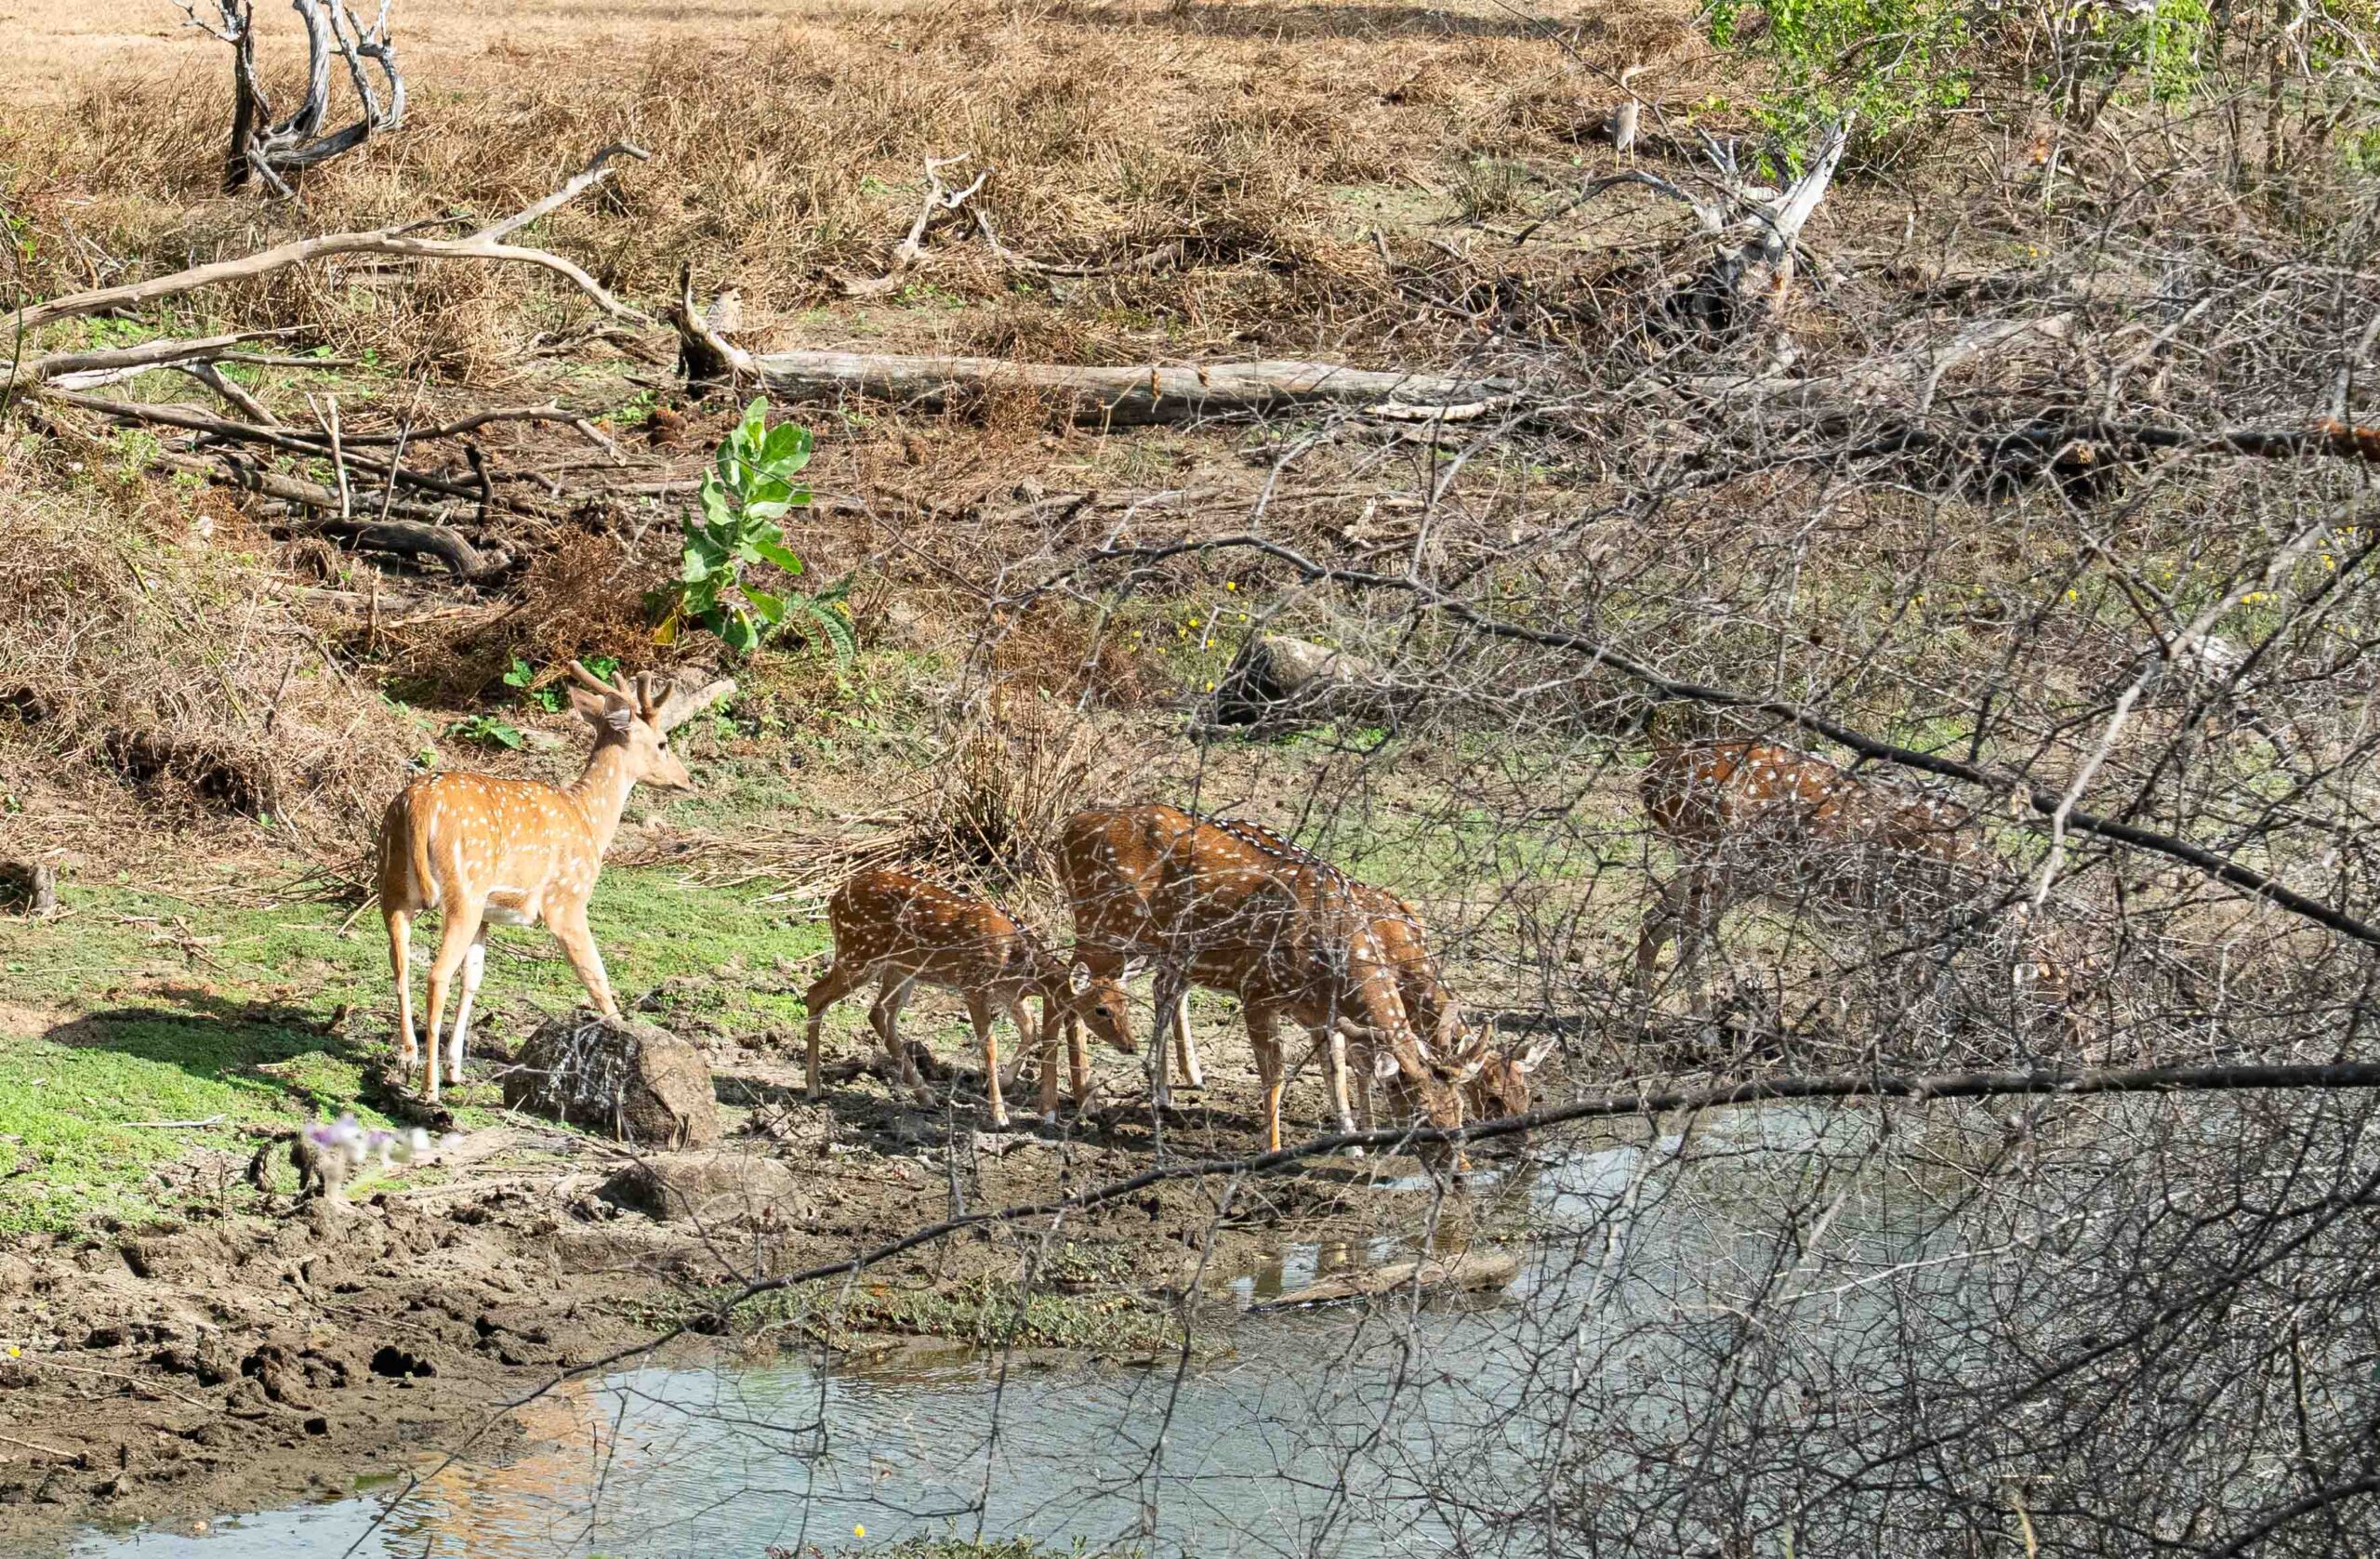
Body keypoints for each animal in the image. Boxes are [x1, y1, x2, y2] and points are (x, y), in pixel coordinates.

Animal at [377, 661, 733, 1102]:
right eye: (663, 742)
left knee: (400, 963)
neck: (590, 819)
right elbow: (596, 977)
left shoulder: (490, 915)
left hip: (392, 886)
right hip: (464, 891)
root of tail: (419, 806)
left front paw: (458, 1067)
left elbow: (474, 979)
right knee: (436, 974)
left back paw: (408, 1059)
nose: (685, 780)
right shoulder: (568, 900)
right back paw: (430, 1087)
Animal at [802, 867, 1138, 1127]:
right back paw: (814, 1086)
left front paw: (1005, 1083)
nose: (1131, 1046)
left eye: (1127, 1003)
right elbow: (989, 1044)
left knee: (879, 1013)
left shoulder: (1011, 994)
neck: (1016, 965)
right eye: (1101, 1010)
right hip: (858, 954)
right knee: (814, 994)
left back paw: (926, 1096)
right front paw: (999, 1115)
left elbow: (1029, 1029)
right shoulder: (974, 987)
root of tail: (832, 901)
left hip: (900, 968)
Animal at [1055, 804, 1470, 1159]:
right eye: (1421, 1117)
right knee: (1072, 989)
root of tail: (1068, 829)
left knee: (1150, 988)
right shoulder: (1257, 993)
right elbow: (1278, 1074)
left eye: (1460, 1108)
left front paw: (1352, 1143)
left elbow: (1335, 1069)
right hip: (1105, 928)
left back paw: (1162, 1091)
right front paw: (1274, 1148)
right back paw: (1088, 1101)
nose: (1460, 1170)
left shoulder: (1322, 1013)